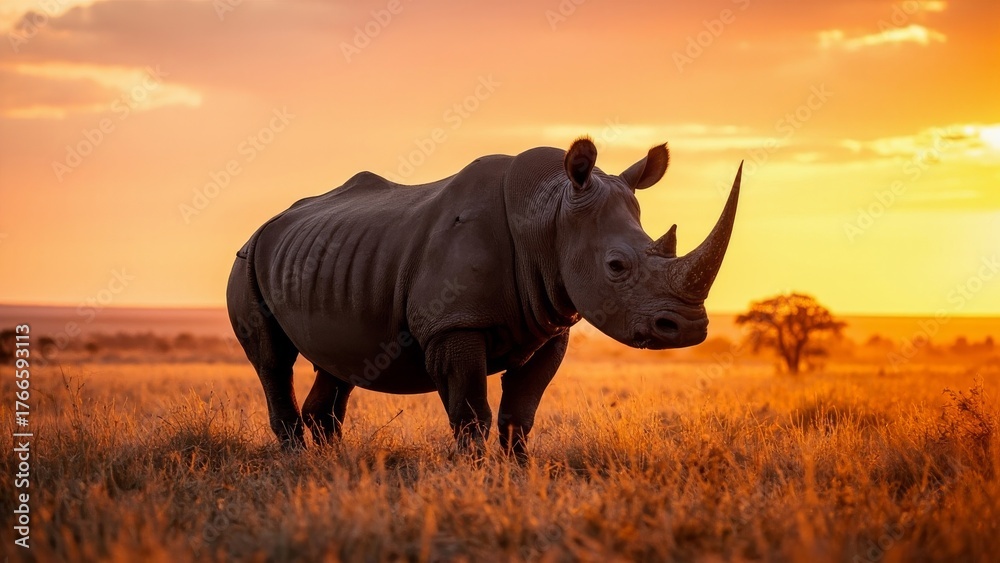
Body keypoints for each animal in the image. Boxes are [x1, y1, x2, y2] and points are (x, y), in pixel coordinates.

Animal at [227, 137, 741, 457]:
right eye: (616, 267)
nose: (689, 328)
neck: (548, 214)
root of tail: (268, 223)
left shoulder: (550, 323)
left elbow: (521, 412)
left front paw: (519, 475)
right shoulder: (454, 323)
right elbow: (471, 411)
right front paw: (473, 476)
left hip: (334, 259)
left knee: (339, 363)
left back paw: (335, 464)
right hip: (248, 257)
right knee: (273, 360)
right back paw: (298, 461)